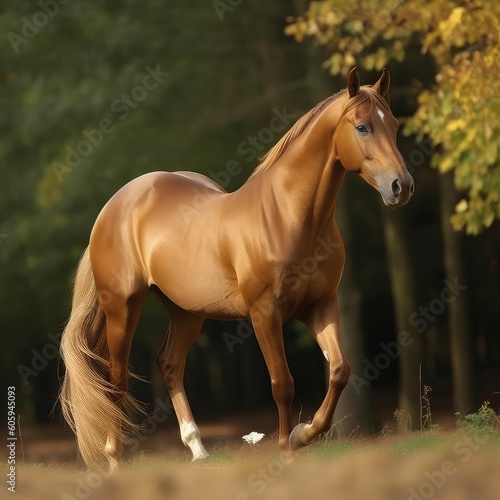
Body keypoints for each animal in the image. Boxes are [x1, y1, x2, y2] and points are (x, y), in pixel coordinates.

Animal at [58, 68, 414, 470]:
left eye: (394, 124)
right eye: (363, 126)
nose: (401, 186)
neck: (289, 217)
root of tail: (112, 207)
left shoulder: (322, 306)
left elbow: (339, 371)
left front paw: (303, 434)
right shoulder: (264, 313)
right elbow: (282, 383)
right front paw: (287, 448)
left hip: (185, 312)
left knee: (169, 364)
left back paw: (197, 449)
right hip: (122, 307)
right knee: (115, 381)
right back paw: (115, 460)